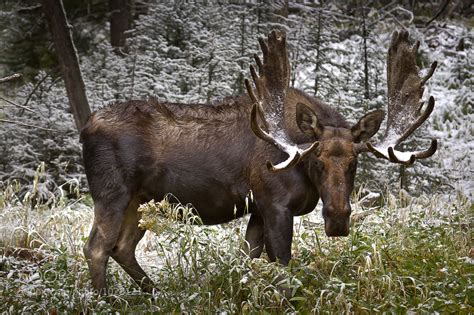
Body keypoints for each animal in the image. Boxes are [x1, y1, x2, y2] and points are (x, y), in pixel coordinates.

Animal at [80, 30, 436, 294]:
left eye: (353, 163)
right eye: (317, 160)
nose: (337, 218)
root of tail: (85, 128)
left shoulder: (258, 207)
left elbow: (246, 258)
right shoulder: (275, 202)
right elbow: (282, 266)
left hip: (140, 201)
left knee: (122, 247)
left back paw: (155, 293)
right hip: (111, 193)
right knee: (96, 247)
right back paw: (104, 300)